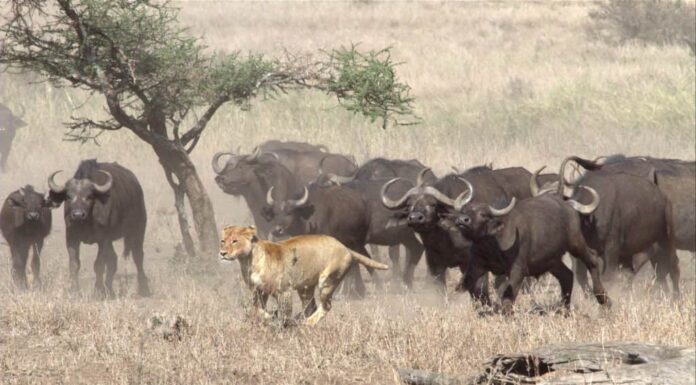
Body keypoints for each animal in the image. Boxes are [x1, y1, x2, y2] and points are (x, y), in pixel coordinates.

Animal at [49, 159, 152, 296]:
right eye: (69, 197)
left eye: (89, 197)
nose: (77, 215)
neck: (87, 222)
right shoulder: (71, 238)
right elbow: (74, 264)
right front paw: (74, 290)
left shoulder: (103, 240)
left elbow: (99, 264)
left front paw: (98, 290)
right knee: (113, 259)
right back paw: (110, 289)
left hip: (138, 230)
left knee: (138, 256)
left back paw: (144, 288)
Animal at [556, 156, 684, 294]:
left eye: (570, 218)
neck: (591, 222)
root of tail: (662, 196)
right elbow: (584, 275)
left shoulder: (611, 249)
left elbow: (608, 276)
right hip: (635, 251)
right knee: (636, 272)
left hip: (667, 239)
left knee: (673, 267)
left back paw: (676, 297)